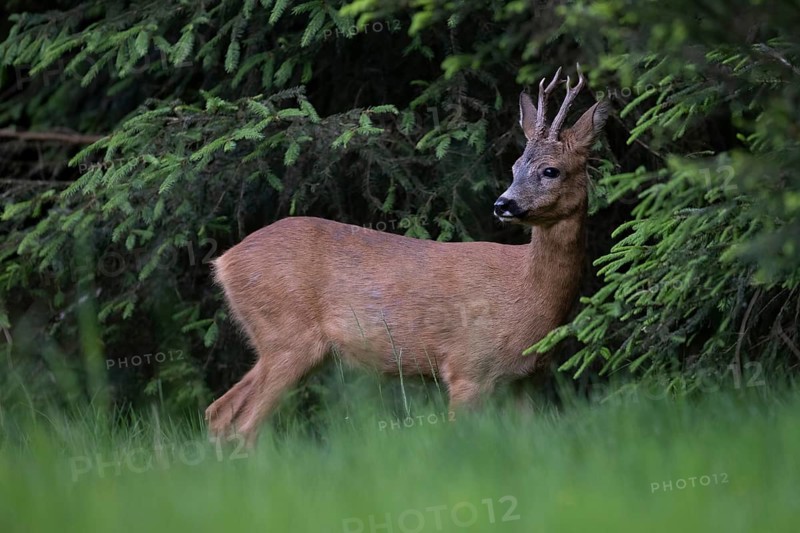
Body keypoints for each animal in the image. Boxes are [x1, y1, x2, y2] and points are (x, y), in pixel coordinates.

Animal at [205, 65, 609, 445]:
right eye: (514, 167)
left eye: (550, 170)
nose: (503, 204)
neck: (527, 290)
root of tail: (224, 262)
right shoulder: (467, 366)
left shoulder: (526, 379)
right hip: (287, 335)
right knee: (245, 423)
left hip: (282, 344)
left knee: (219, 411)